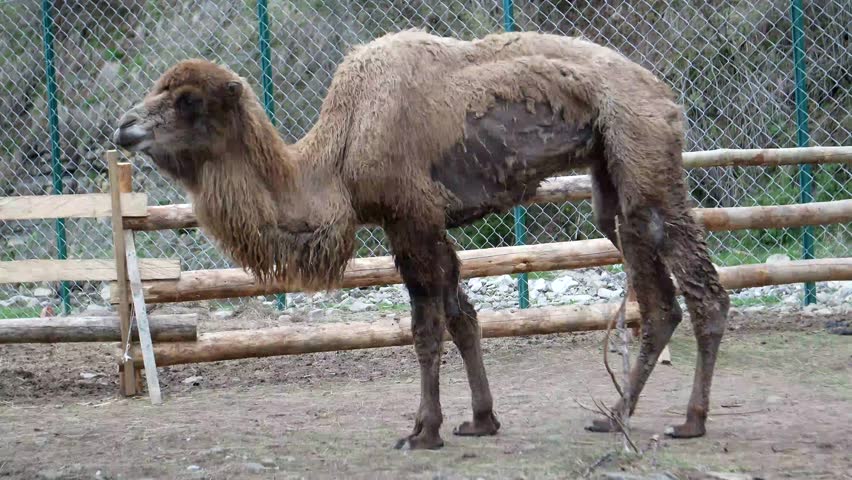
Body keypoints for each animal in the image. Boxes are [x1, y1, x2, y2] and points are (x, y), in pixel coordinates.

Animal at [112, 29, 730, 450]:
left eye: (187, 101)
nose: (124, 127)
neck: (337, 154)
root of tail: (666, 96)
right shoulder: (419, 223)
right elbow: (463, 318)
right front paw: (481, 420)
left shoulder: (410, 216)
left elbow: (426, 328)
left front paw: (422, 430)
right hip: (611, 183)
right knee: (658, 298)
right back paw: (616, 414)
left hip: (643, 157)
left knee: (701, 290)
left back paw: (689, 421)